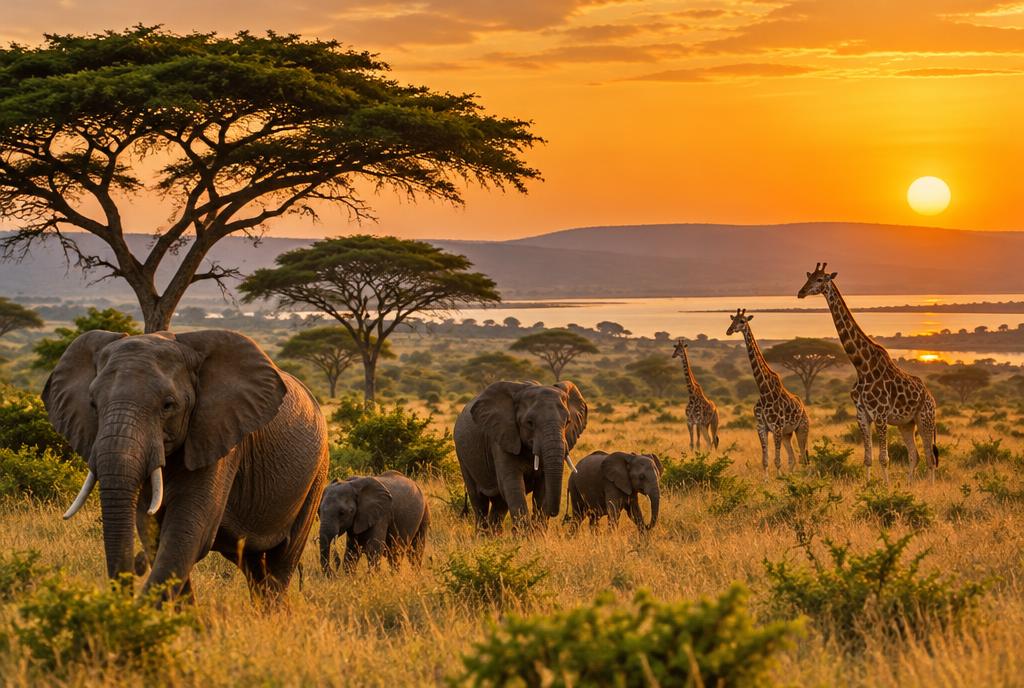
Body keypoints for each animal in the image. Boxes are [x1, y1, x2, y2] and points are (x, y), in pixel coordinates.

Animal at [45, 329, 329, 605]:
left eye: (168, 405)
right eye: (93, 404)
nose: (136, 566)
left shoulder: (219, 437)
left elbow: (188, 534)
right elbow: (152, 531)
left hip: (317, 474)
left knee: (283, 560)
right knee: (252, 564)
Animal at [454, 380, 588, 530]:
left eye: (568, 422)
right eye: (530, 423)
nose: (562, 516)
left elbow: (543, 488)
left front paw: (538, 532)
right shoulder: (502, 437)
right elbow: (513, 485)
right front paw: (525, 534)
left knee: (499, 505)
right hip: (463, 457)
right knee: (479, 502)